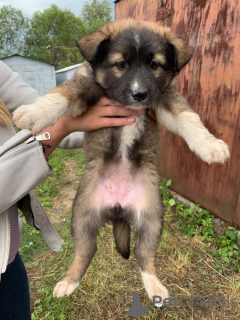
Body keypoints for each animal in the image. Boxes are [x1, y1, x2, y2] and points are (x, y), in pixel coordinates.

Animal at [12, 19, 229, 302]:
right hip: (81, 215)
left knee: (143, 253)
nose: (139, 94)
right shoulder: (86, 85)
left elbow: (188, 117)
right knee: (85, 250)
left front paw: (211, 146)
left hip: (152, 216)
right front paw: (33, 113)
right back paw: (69, 282)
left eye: (154, 65)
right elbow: (62, 94)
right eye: (121, 65)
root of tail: (118, 207)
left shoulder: (164, 96)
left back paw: (153, 285)